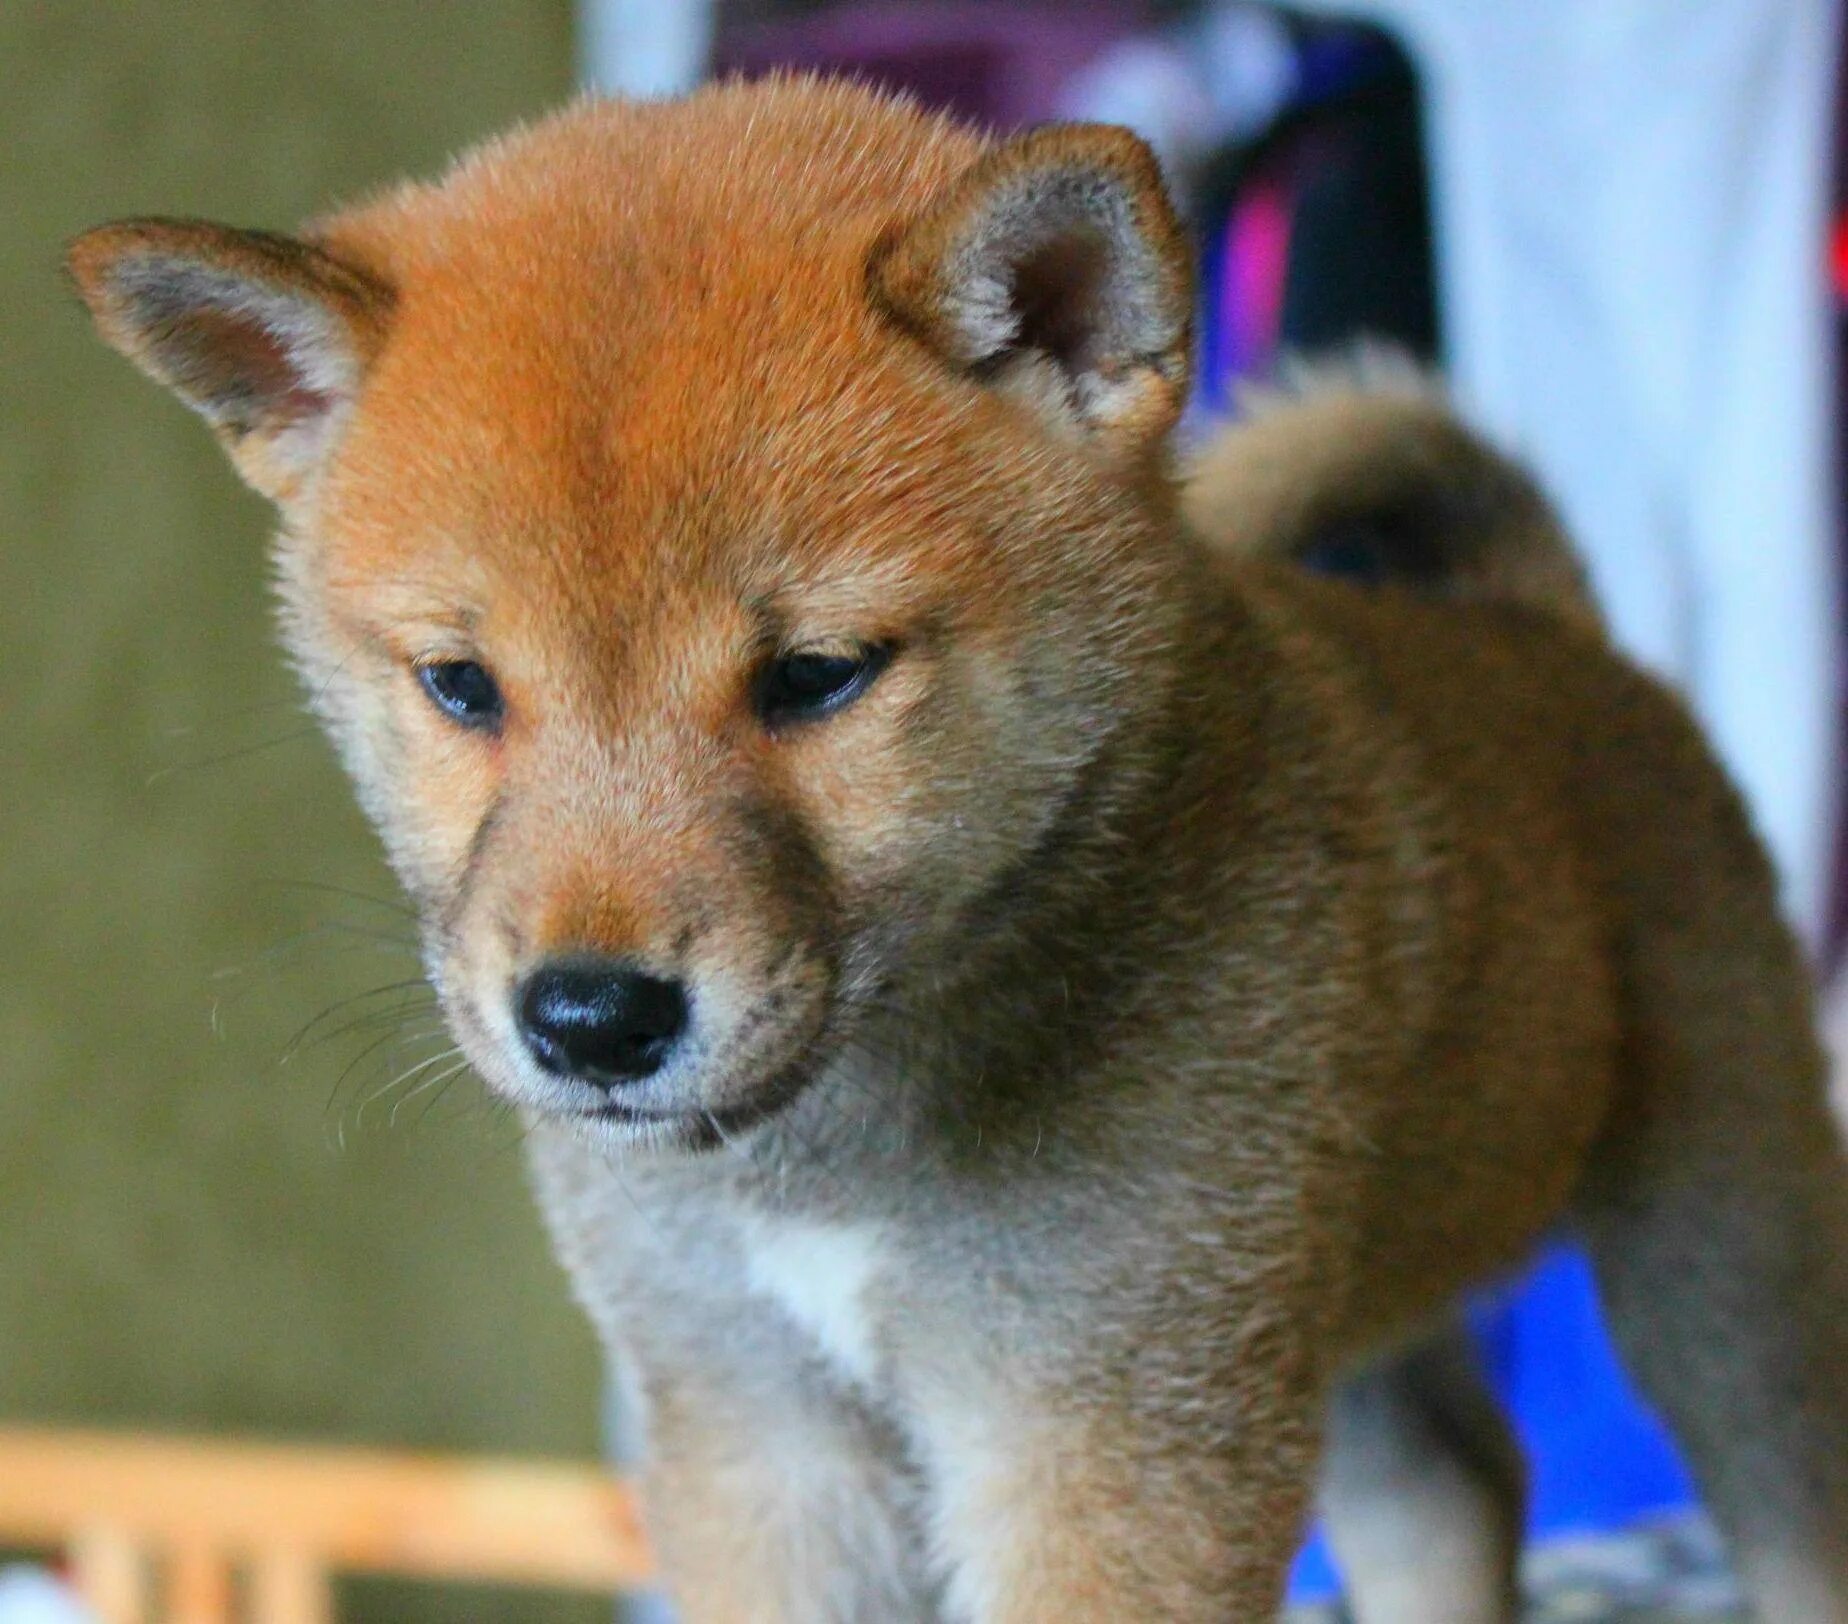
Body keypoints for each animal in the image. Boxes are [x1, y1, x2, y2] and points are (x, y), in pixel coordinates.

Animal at [68, 76, 1848, 1624]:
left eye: (815, 677)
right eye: (460, 686)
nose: (589, 1019)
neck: (850, 1148)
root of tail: (1550, 630)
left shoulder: (1104, 1436)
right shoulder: (761, 1434)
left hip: (1713, 1252)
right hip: (1334, 1306)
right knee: (1455, 1483)